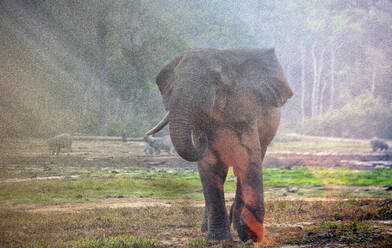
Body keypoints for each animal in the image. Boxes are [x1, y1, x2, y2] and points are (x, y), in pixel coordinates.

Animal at [145, 48, 292, 242]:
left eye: (215, 80)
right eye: (175, 80)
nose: (201, 136)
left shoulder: (246, 113)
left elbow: (249, 160)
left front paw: (249, 235)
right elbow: (209, 167)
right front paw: (218, 239)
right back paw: (206, 228)